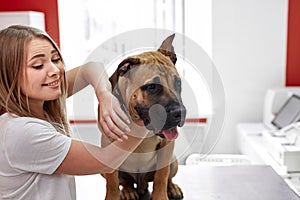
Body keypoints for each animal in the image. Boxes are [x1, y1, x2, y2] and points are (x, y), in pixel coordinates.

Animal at [99, 34, 186, 200]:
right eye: (152, 86)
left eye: (178, 83)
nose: (180, 113)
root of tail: (141, 184)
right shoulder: (108, 144)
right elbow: (112, 183)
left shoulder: (166, 145)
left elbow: (161, 176)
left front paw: (161, 196)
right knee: (124, 182)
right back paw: (128, 191)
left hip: (173, 160)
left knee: (167, 177)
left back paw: (172, 188)